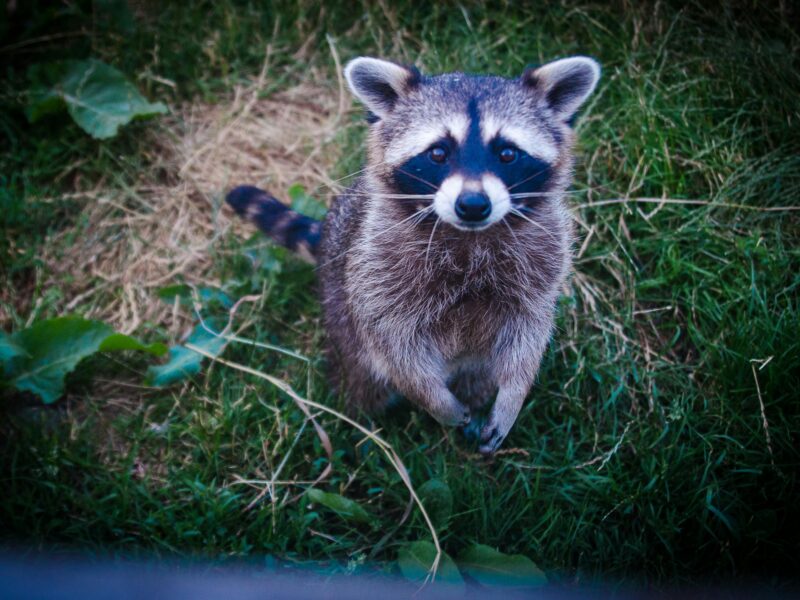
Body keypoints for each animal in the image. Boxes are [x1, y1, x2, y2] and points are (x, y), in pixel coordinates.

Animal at [227, 56, 600, 452]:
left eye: (507, 153)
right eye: (438, 152)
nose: (473, 205)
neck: (468, 236)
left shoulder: (543, 261)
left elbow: (528, 335)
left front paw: (513, 395)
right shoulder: (377, 269)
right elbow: (394, 345)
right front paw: (433, 399)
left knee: (479, 376)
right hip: (340, 310)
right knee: (361, 380)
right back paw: (359, 424)